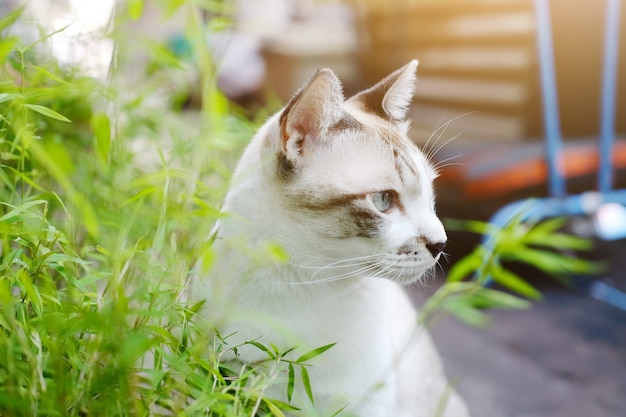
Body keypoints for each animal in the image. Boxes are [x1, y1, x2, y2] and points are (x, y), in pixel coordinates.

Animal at [193, 59, 470, 416]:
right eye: (383, 200)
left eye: (429, 195)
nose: (441, 243)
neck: (300, 280)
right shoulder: (225, 380)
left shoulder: (363, 406)